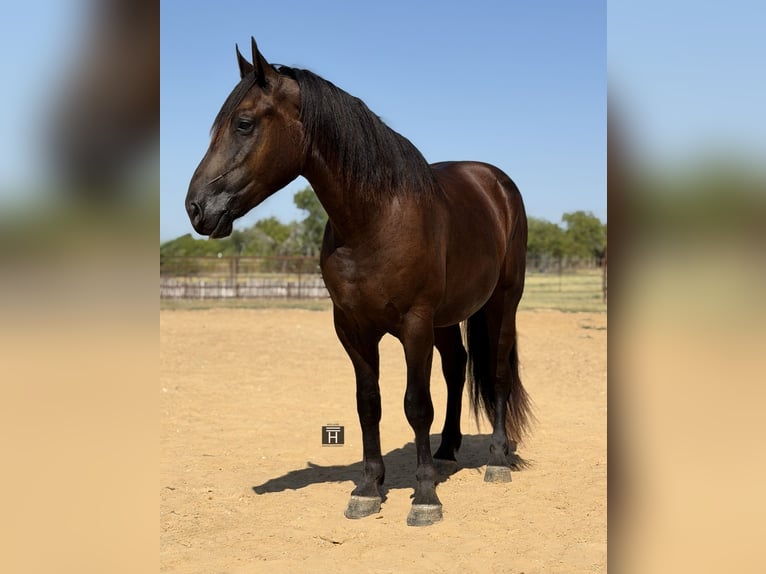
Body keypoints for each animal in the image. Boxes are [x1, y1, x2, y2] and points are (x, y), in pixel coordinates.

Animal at [186, 38, 532, 526]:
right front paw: (368, 488)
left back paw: (497, 460)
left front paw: (425, 497)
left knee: (497, 372)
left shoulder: (415, 325)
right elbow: (369, 403)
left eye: (244, 123)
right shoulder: (352, 327)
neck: (375, 219)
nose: (196, 207)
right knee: (457, 368)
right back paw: (447, 451)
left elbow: (415, 405)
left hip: (502, 302)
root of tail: (496, 183)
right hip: (448, 319)